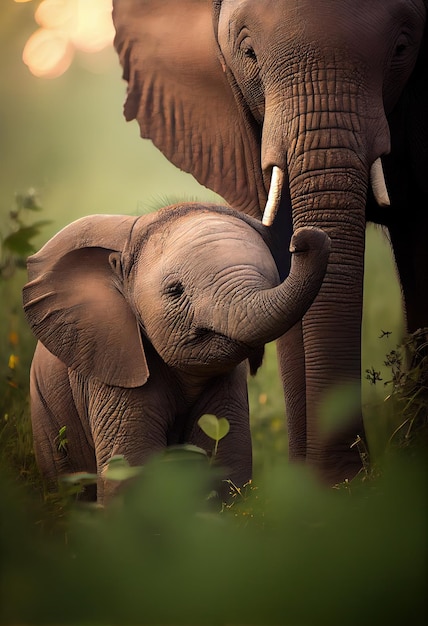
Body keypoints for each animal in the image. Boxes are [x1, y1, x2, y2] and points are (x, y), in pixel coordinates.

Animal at [23, 202, 330, 500]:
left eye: (273, 277)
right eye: (175, 290)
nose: (303, 239)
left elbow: (228, 461)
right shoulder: (112, 363)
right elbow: (130, 467)